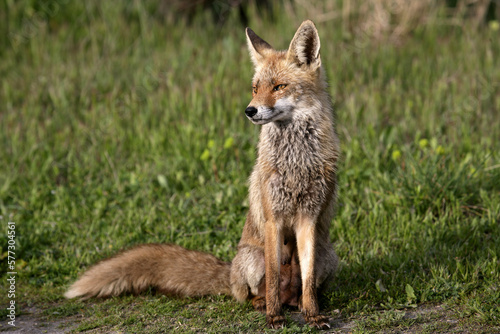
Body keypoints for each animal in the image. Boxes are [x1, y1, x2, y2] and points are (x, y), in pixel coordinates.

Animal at [65, 20, 340, 328]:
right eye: (255, 88)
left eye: (280, 87)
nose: (250, 110)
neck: (295, 161)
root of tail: (230, 273)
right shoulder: (273, 218)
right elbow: (272, 279)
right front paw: (274, 317)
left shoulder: (308, 218)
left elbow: (308, 282)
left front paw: (313, 315)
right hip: (253, 258)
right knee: (249, 294)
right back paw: (265, 305)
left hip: (327, 254)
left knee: (302, 287)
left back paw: (300, 305)